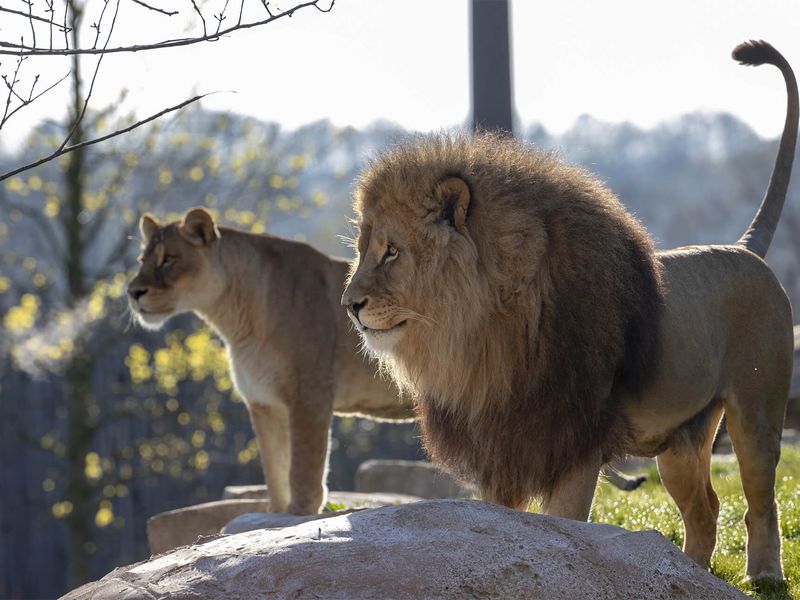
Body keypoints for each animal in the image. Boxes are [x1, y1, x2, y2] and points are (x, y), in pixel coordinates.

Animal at [127, 208, 414, 515]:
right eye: (141, 261)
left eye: (168, 258)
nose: (133, 292)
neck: (236, 320)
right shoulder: (263, 402)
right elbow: (275, 470)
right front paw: (277, 512)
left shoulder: (309, 394)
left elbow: (303, 468)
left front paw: (299, 512)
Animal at [342, 40, 796, 580]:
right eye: (363, 251)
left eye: (391, 252)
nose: (349, 306)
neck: (483, 334)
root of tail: (745, 250)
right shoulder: (500, 448)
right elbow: (499, 524)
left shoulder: (576, 442)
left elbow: (565, 526)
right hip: (679, 440)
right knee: (706, 510)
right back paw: (685, 573)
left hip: (756, 407)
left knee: (760, 498)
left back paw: (763, 575)